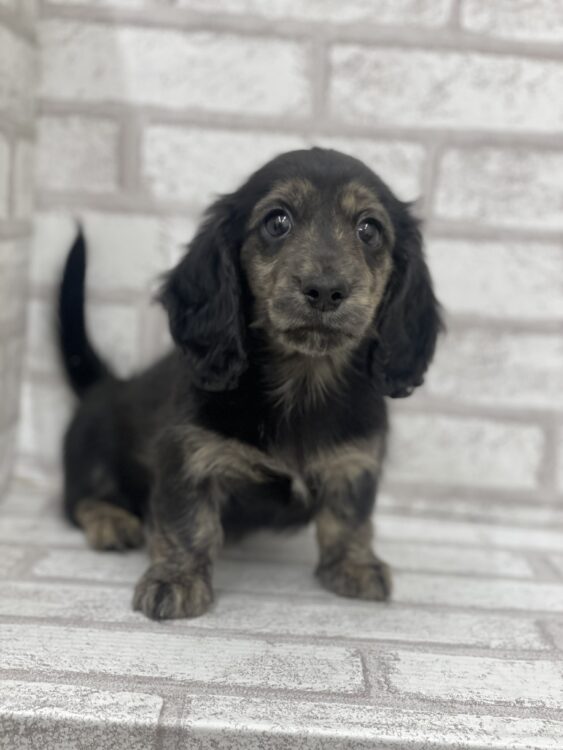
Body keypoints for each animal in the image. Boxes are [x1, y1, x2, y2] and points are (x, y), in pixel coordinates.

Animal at [58, 148, 443, 620]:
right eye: (277, 222)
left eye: (369, 230)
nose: (325, 290)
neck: (302, 385)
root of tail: (106, 385)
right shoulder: (188, 457)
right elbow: (189, 523)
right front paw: (176, 579)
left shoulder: (356, 460)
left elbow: (349, 518)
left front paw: (353, 565)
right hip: (92, 449)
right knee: (79, 499)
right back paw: (110, 521)